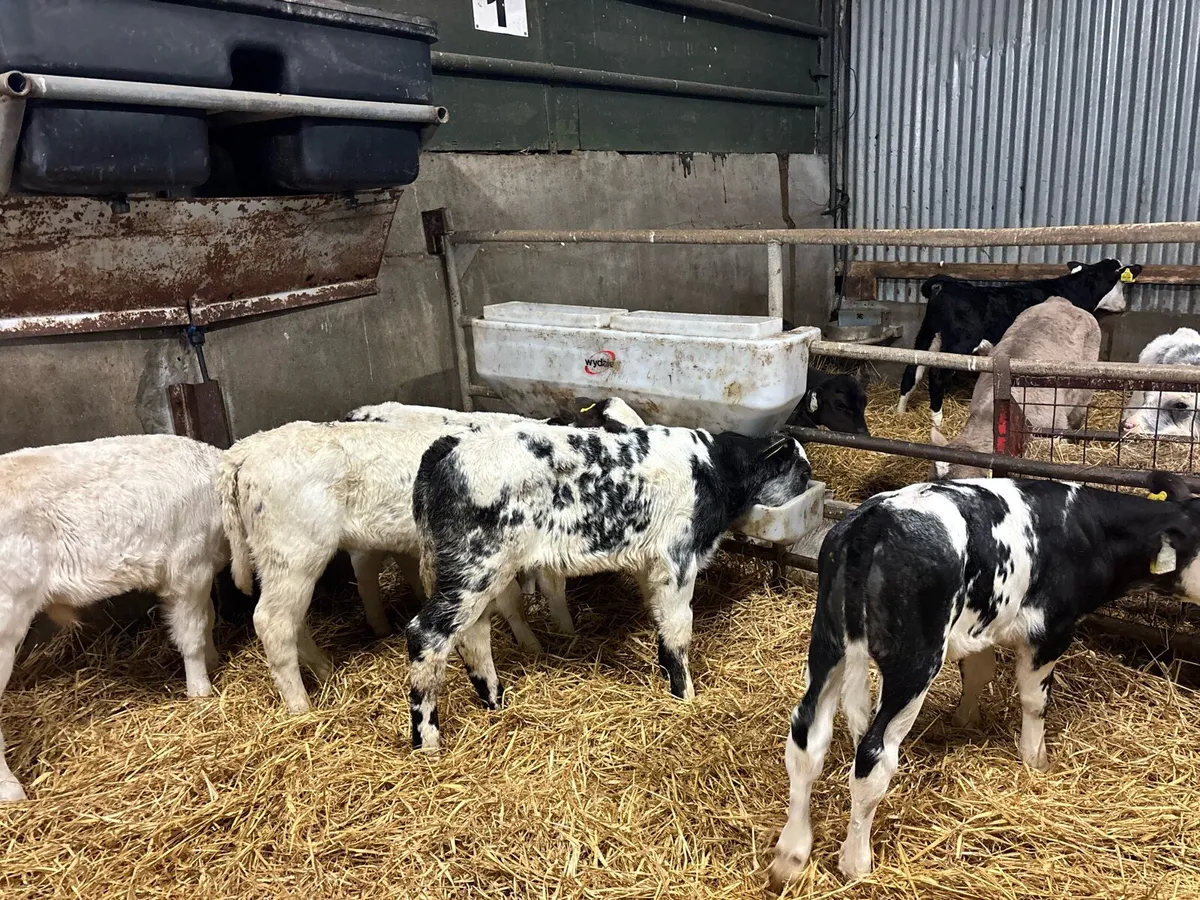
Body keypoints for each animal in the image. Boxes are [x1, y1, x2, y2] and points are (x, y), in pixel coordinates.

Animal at [768, 472, 1200, 888]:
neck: (1087, 528)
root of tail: (872, 521)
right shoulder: (1049, 631)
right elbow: (1034, 702)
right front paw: (1036, 759)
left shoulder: (983, 626)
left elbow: (978, 673)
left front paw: (965, 720)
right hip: (915, 662)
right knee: (873, 755)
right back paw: (855, 863)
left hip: (828, 643)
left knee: (806, 739)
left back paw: (790, 855)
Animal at [897, 260, 1141, 425]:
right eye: (1119, 282)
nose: (1123, 305)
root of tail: (946, 285)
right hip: (959, 344)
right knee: (937, 377)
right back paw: (937, 420)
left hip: (927, 336)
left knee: (912, 371)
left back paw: (900, 412)